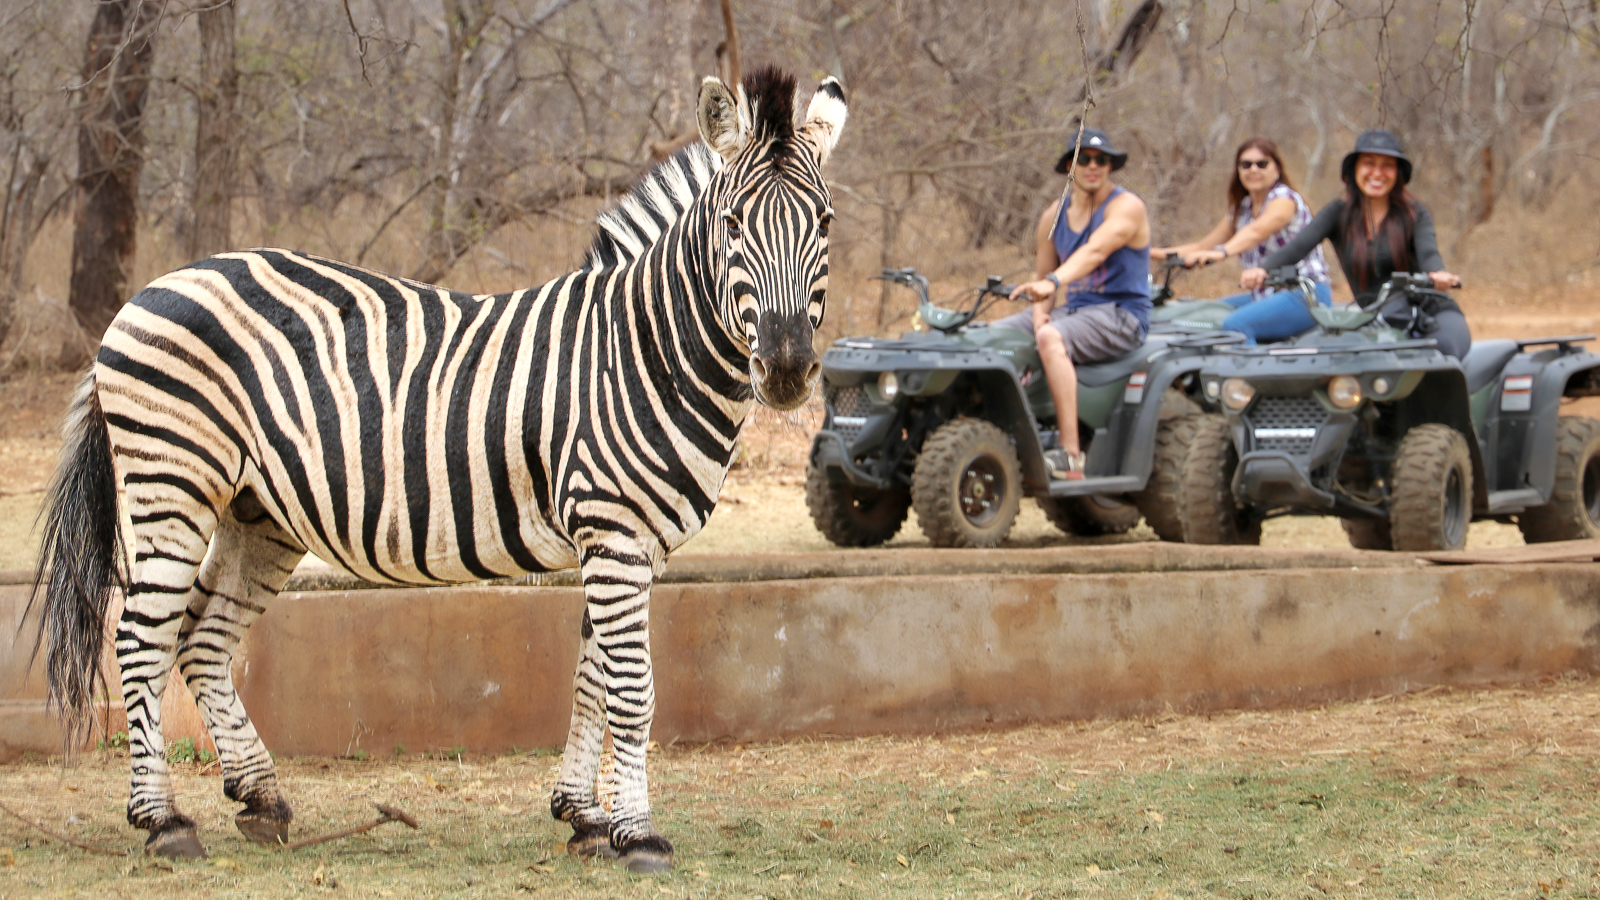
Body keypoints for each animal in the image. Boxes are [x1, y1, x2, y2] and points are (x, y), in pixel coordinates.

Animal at [31, 66, 846, 874]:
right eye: (733, 225)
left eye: (826, 223)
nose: (786, 369)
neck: (644, 348)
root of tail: (148, 291)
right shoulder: (613, 531)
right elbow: (633, 688)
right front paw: (637, 834)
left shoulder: (626, 543)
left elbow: (591, 681)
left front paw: (581, 816)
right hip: (172, 485)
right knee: (140, 639)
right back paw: (163, 821)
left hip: (257, 512)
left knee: (202, 637)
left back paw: (262, 799)